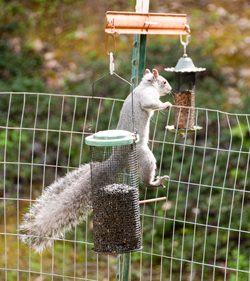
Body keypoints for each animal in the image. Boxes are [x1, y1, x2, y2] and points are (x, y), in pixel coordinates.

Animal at [20, 67, 172, 252]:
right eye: (164, 81)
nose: (171, 89)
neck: (145, 85)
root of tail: (118, 159)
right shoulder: (147, 96)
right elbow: (151, 104)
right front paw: (167, 105)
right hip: (145, 157)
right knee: (146, 180)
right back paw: (155, 182)